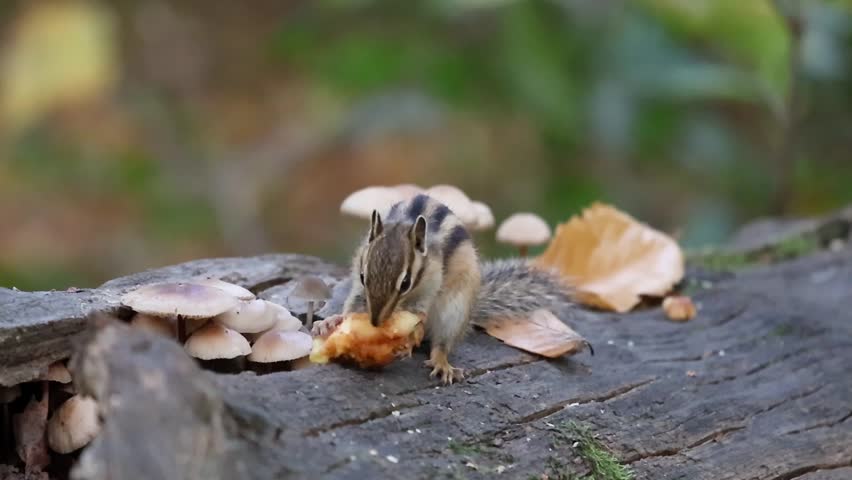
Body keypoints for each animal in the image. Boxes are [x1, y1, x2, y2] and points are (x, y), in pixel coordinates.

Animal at [312, 193, 573, 384]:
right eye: (363, 276)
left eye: (405, 283)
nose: (375, 322)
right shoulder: (359, 285)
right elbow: (353, 304)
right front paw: (332, 322)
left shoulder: (430, 287)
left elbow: (419, 317)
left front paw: (408, 341)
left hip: (455, 310)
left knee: (442, 343)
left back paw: (441, 361)